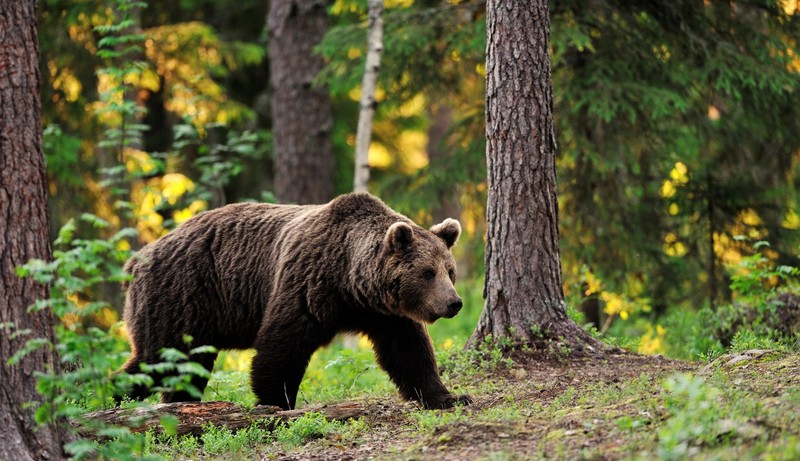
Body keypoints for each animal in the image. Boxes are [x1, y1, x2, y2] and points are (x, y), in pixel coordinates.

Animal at [119, 192, 468, 408]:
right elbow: (282, 345)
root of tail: (136, 259)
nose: (454, 303)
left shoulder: (384, 313)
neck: (350, 281)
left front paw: (447, 397)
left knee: (184, 367)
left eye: (450, 271)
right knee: (159, 358)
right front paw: (275, 402)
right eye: (427, 272)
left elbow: (408, 352)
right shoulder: (307, 284)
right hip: (181, 296)